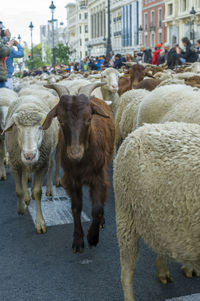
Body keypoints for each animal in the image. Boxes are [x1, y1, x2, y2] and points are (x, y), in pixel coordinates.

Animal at [3, 95, 58, 233]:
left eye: (40, 127)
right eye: (17, 127)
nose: (30, 156)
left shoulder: (42, 165)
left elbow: (38, 192)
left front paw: (40, 222)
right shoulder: (14, 165)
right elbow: (18, 191)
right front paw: (21, 208)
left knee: (51, 165)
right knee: (24, 177)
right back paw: (26, 197)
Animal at [43, 81, 115, 251]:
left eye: (89, 118)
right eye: (60, 119)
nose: (74, 153)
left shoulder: (99, 177)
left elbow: (97, 208)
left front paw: (93, 237)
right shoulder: (71, 179)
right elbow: (76, 207)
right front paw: (78, 241)